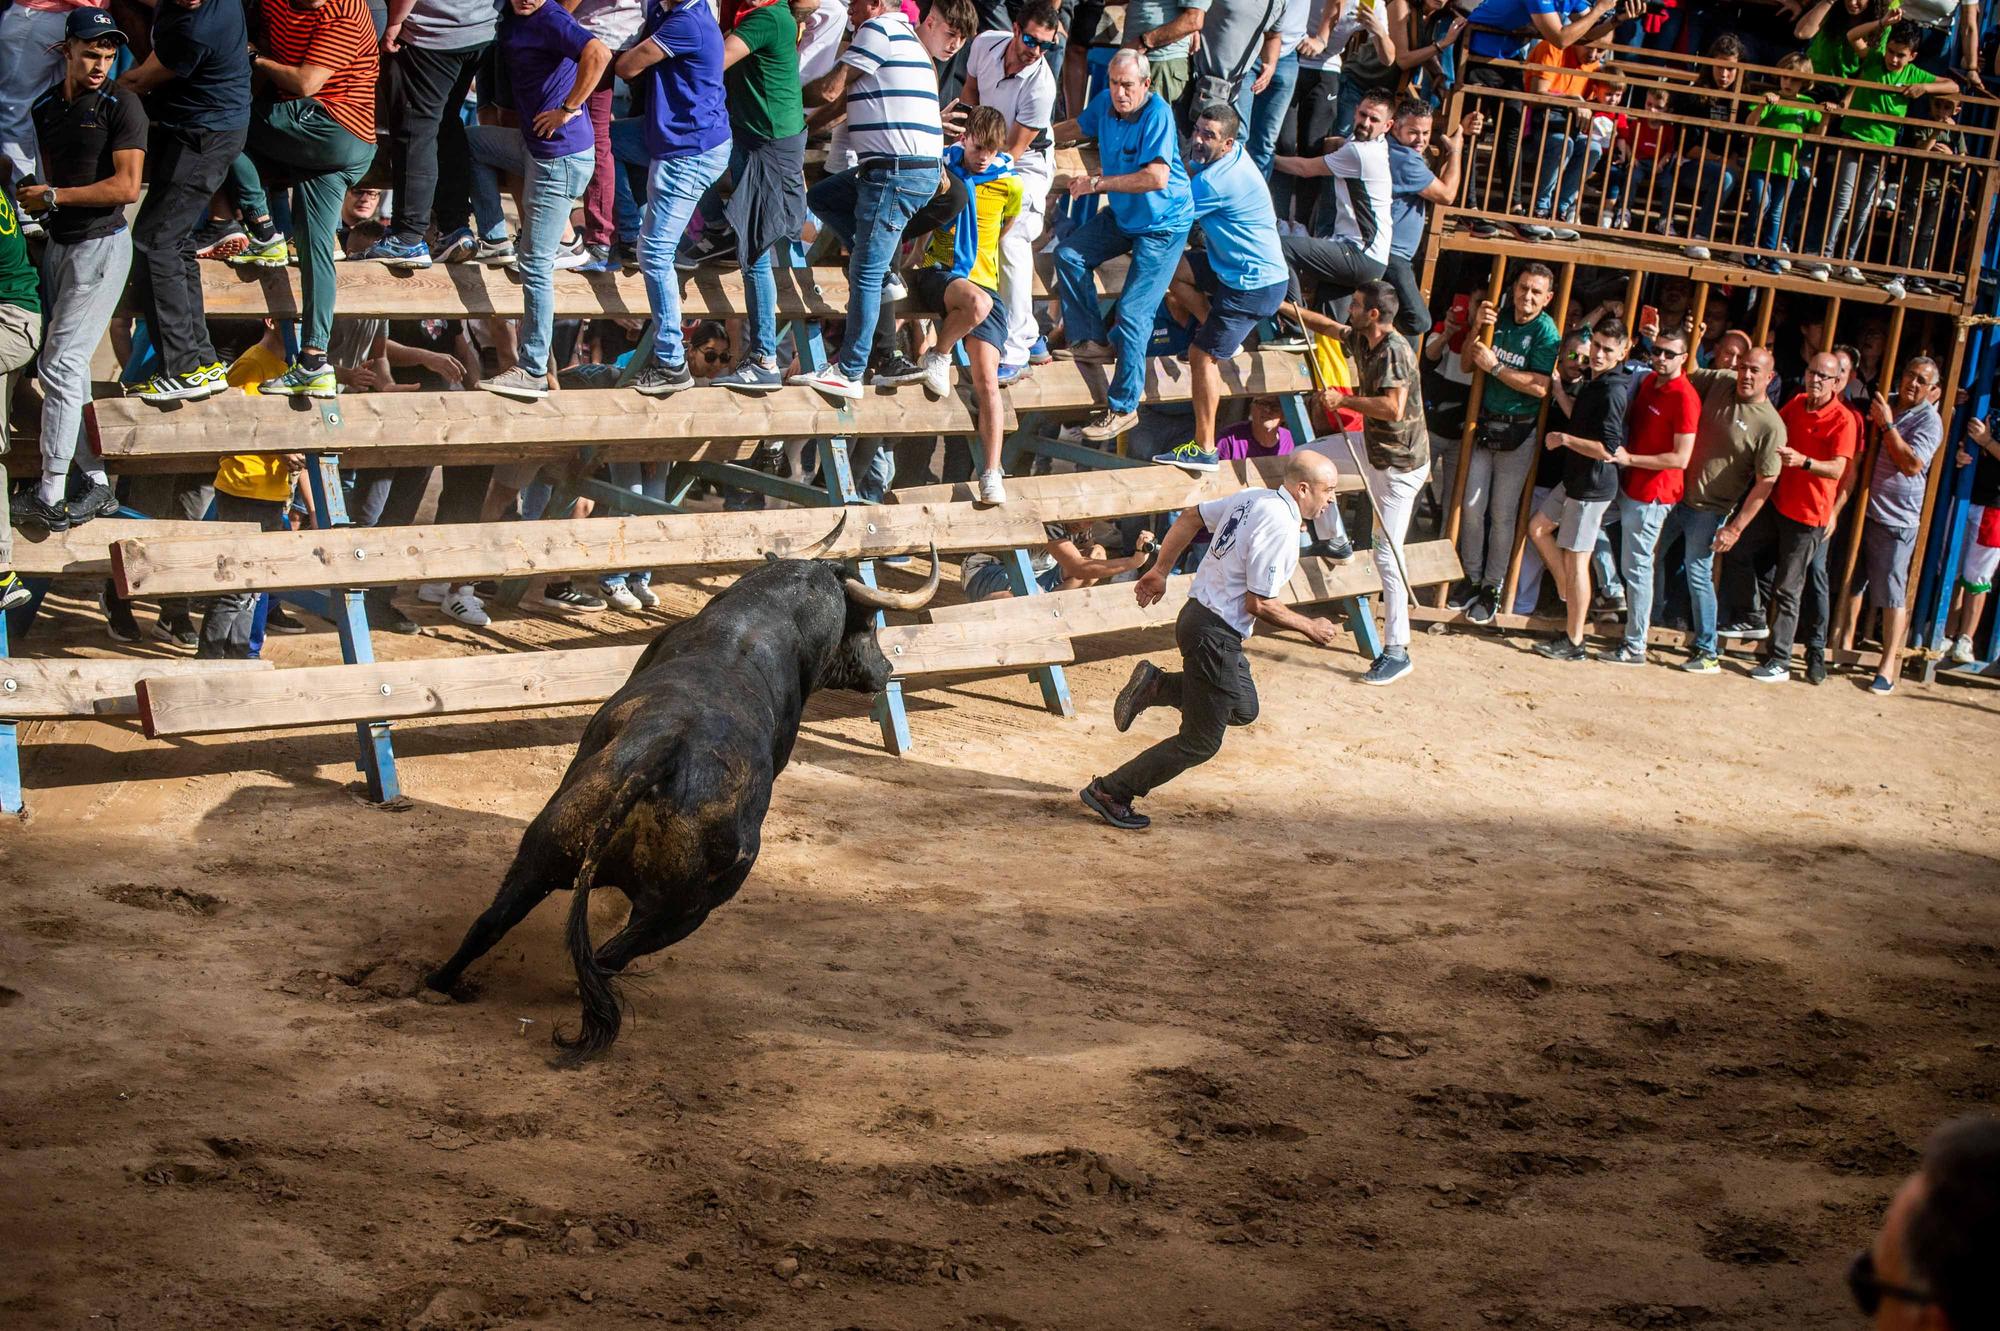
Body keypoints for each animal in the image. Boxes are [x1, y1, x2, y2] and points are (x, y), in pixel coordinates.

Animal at [426, 547, 940, 1055]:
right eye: (868, 624)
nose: (887, 670)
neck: (762, 616)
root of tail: (663, 754)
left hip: (542, 854)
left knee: (494, 922)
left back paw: (438, 983)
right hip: (687, 909)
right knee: (609, 956)